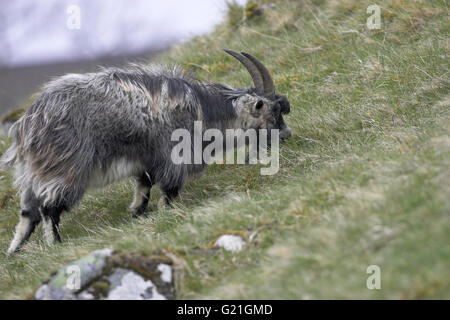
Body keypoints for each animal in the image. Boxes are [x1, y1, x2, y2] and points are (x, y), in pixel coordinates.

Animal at [0, 50, 292, 254]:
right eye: (272, 111)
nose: (286, 135)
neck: (202, 110)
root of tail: (27, 125)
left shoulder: (147, 160)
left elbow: (143, 186)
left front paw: (137, 213)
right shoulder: (174, 156)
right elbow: (169, 189)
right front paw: (166, 212)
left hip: (32, 173)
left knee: (27, 213)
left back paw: (15, 251)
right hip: (65, 167)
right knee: (49, 208)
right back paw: (55, 243)